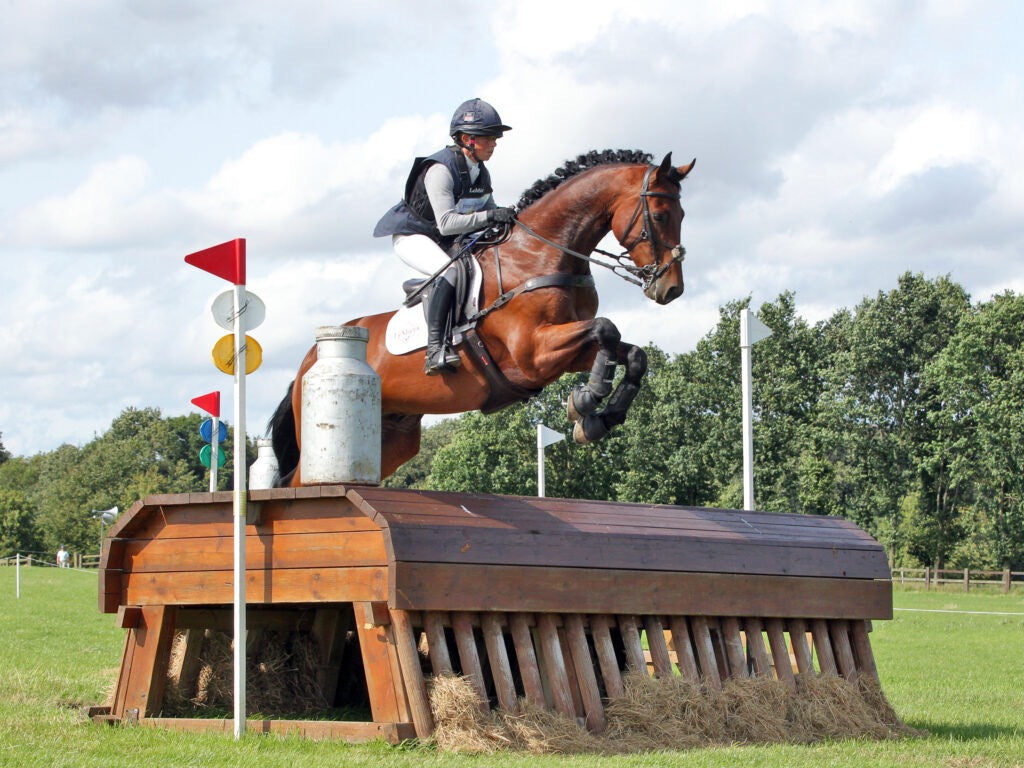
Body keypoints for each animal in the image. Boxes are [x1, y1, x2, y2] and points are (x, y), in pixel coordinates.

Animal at [269, 149, 695, 484]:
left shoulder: (568, 352)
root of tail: (306, 360)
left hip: (393, 436)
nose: (671, 289)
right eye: (660, 215)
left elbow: (631, 353)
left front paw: (597, 419)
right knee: (295, 483)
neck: (539, 255)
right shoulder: (533, 353)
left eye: (682, 214)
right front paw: (586, 400)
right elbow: (606, 328)